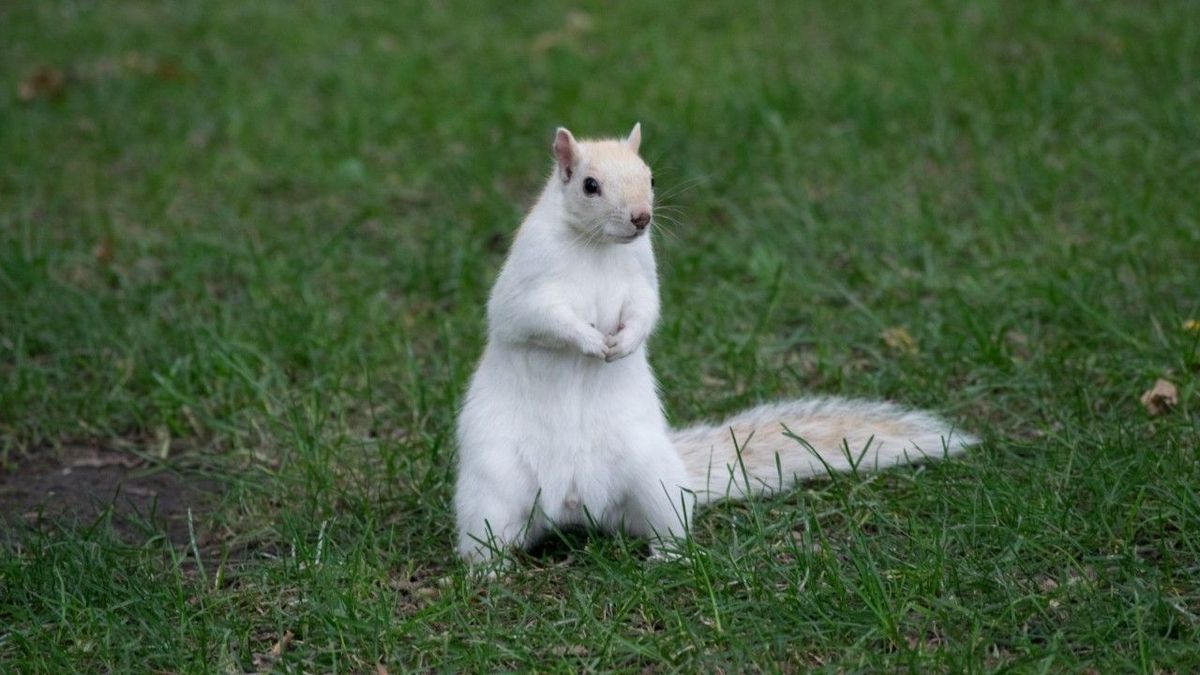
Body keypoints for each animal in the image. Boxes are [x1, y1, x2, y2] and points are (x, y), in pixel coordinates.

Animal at [451, 121, 974, 562]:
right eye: (589, 185)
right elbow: (537, 317)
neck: (597, 249)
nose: (641, 218)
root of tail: (572, 504)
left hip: (653, 478)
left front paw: (624, 343)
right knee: (489, 534)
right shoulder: (528, 284)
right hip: (492, 487)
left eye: (651, 177)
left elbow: (645, 312)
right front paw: (590, 342)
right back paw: (487, 573)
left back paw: (669, 558)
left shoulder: (642, 279)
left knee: (666, 522)